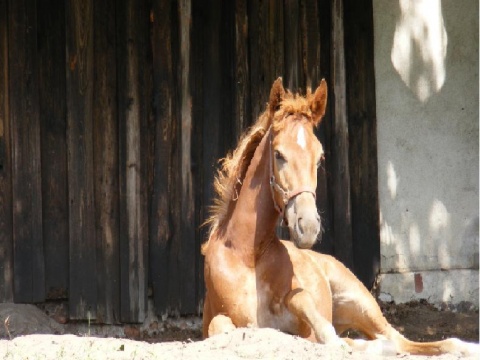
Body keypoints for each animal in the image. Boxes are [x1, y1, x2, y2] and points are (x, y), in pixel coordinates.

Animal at [201, 77, 478, 356]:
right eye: (278, 154)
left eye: (319, 157)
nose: (308, 226)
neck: (247, 255)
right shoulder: (219, 318)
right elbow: (220, 325)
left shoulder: (304, 323)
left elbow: (302, 301)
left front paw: (334, 340)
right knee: (388, 342)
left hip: (361, 302)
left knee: (399, 340)